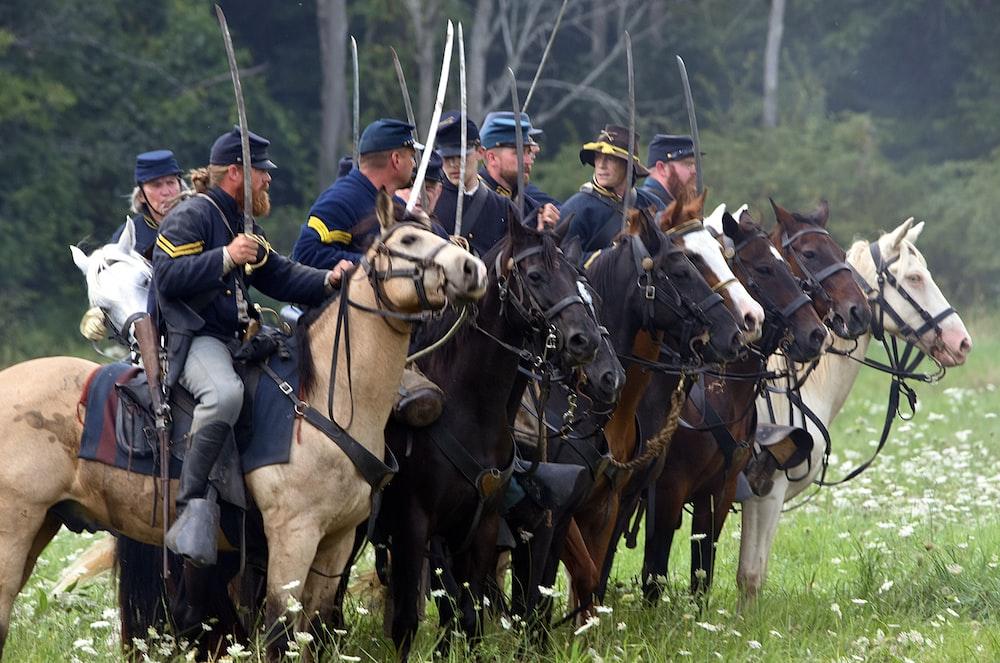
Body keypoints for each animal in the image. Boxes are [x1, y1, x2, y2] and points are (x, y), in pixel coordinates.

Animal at [0, 191, 488, 660]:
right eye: (408, 240)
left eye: (438, 231)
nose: (473, 269)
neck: (323, 401)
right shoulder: (292, 540)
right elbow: (278, 635)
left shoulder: (334, 544)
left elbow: (312, 633)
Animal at [640, 205, 828, 600]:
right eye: (764, 269)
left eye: (787, 267)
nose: (816, 334)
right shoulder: (667, 492)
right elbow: (655, 572)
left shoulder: (719, 492)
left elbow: (702, 572)